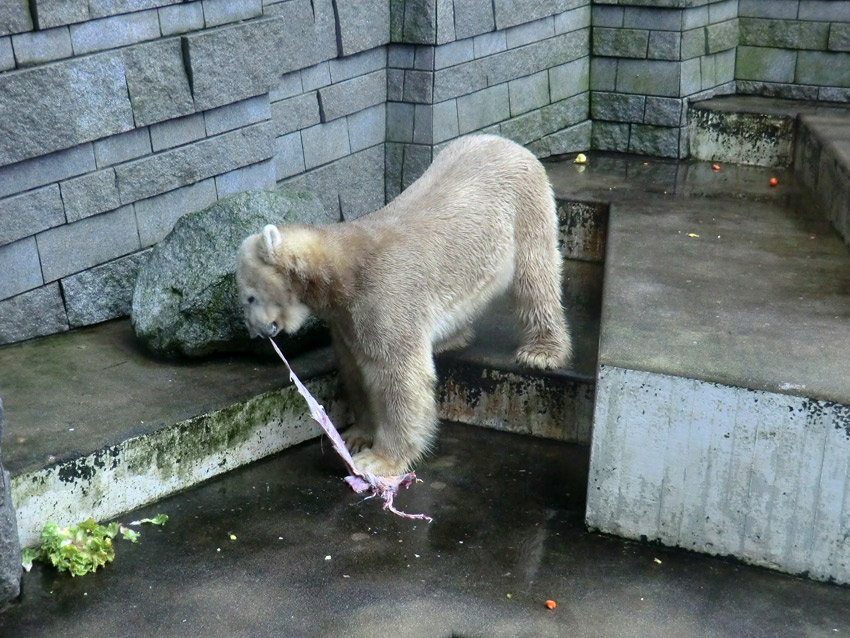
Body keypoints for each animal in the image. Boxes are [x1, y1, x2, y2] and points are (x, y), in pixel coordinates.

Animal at [235, 135, 568, 478]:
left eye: (248, 297)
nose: (254, 332)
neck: (343, 270)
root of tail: (509, 143)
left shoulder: (383, 296)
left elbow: (398, 374)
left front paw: (378, 459)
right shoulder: (346, 318)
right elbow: (355, 369)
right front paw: (355, 435)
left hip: (524, 209)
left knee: (535, 277)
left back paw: (541, 350)